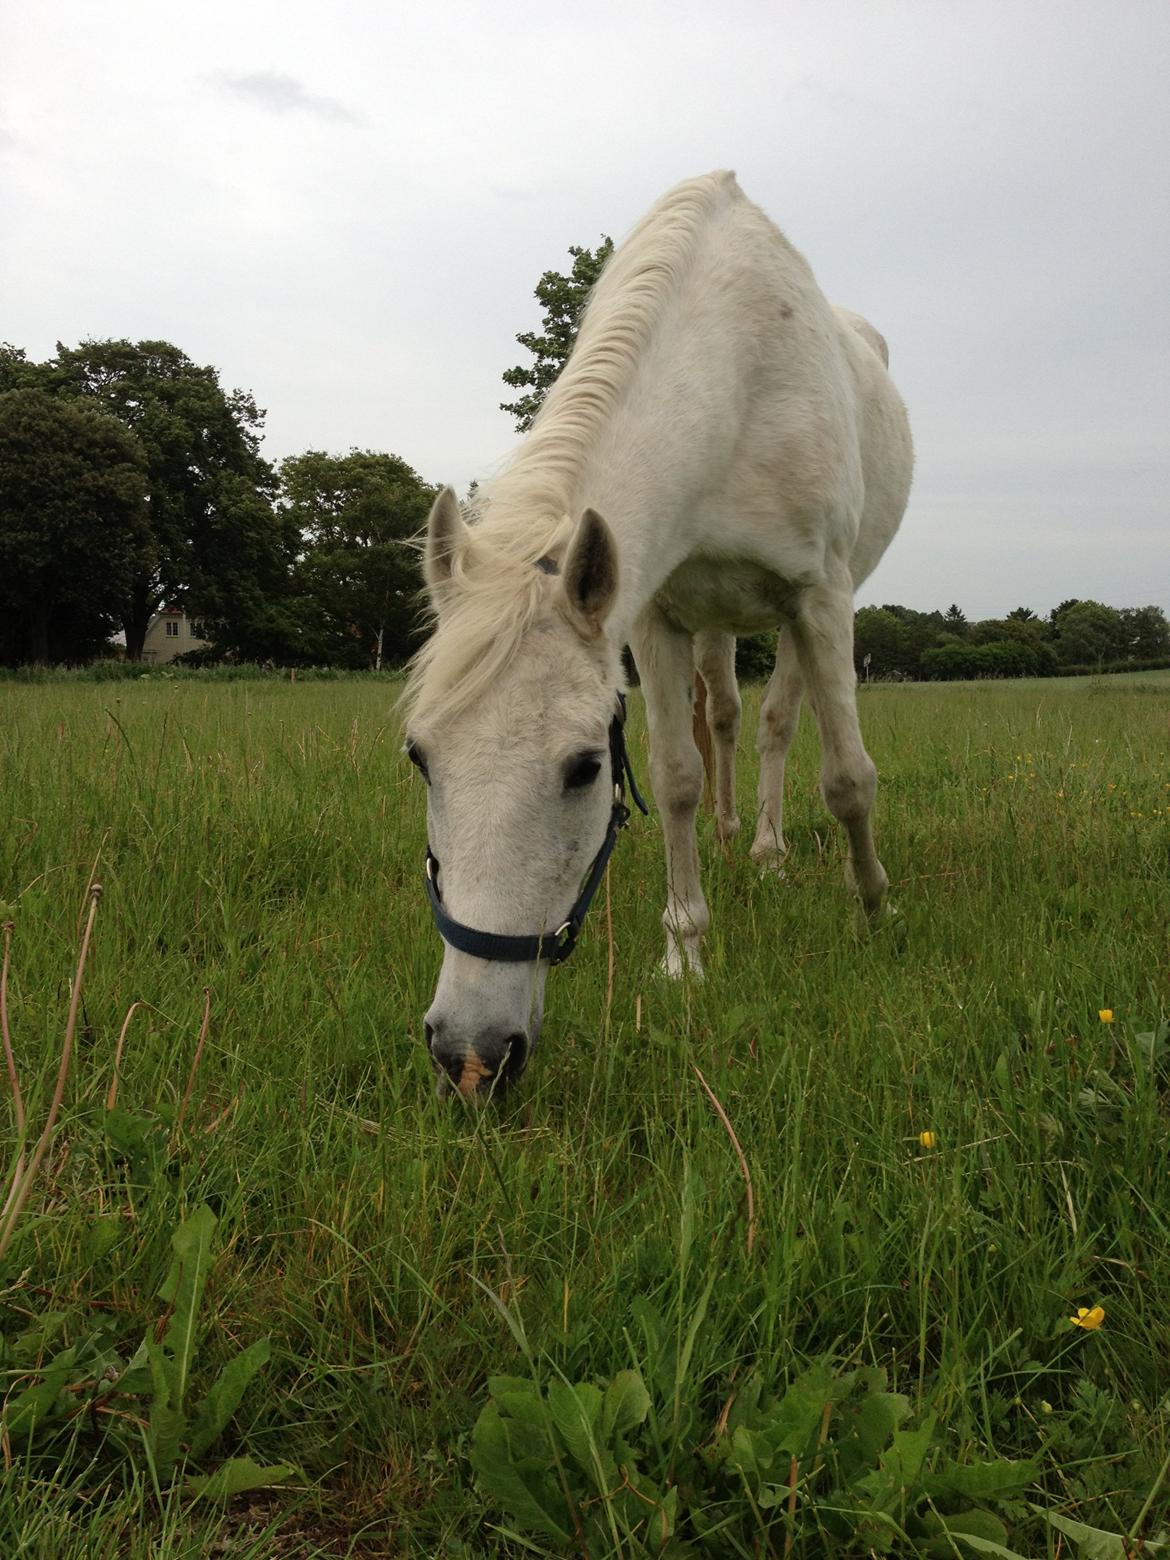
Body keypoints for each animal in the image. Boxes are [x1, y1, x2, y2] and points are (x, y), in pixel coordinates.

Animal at [402, 170, 917, 1098]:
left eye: (583, 768)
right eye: (421, 758)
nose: (470, 1055)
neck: (735, 382)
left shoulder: (820, 596)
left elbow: (849, 778)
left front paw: (874, 909)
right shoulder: (653, 614)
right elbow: (678, 776)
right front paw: (685, 953)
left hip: (803, 614)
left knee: (782, 726)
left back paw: (769, 852)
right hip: (714, 621)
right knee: (726, 721)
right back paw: (731, 836)